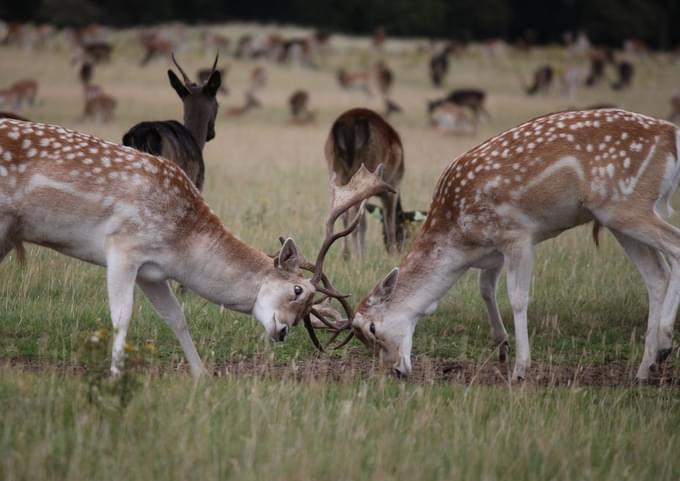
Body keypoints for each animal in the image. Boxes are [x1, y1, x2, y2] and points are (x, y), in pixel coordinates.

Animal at [0, 117, 394, 376]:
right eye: (298, 290)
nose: (282, 332)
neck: (180, 241)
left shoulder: (152, 272)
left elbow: (176, 317)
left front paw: (201, 374)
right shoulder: (123, 247)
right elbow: (121, 317)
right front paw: (115, 375)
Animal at [326, 109, 406, 258]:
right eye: (404, 230)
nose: (401, 248)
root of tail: (348, 123)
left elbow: (364, 222)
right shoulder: (393, 185)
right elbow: (389, 221)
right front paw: (393, 255)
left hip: (336, 170)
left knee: (343, 213)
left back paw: (346, 255)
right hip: (368, 165)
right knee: (352, 214)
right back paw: (356, 256)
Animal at [348, 107, 680, 380]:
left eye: (372, 328)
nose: (395, 371)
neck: (461, 239)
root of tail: (671, 134)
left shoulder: (516, 234)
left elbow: (518, 297)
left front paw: (521, 369)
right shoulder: (492, 251)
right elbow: (485, 288)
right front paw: (502, 347)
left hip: (626, 205)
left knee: (674, 248)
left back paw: (664, 342)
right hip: (621, 216)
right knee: (656, 276)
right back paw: (646, 367)